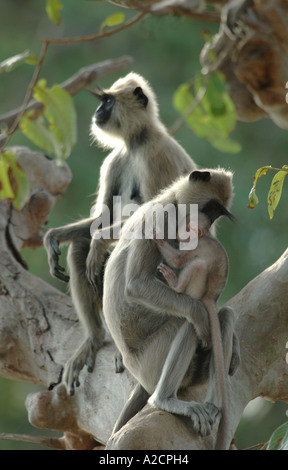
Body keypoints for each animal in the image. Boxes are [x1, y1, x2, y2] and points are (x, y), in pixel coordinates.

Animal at [43, 71, 196, 394]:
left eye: (108, 101)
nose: (98, 111)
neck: (137, 141)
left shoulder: (155, 156)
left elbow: (158, 217)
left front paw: (100, 242)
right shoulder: (116, 159)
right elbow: (100, 218)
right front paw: (54, 238)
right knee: (81, 247)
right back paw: (95, 339)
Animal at [103, 168, 241, 448]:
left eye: (217, 213)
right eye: (211, 208)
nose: (208, 223)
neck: (175, 202)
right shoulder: (161, 216)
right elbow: (137, 284)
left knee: (224, 316)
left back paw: (212, 405)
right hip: (150, 363)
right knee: (189, 322)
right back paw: (164, 399)